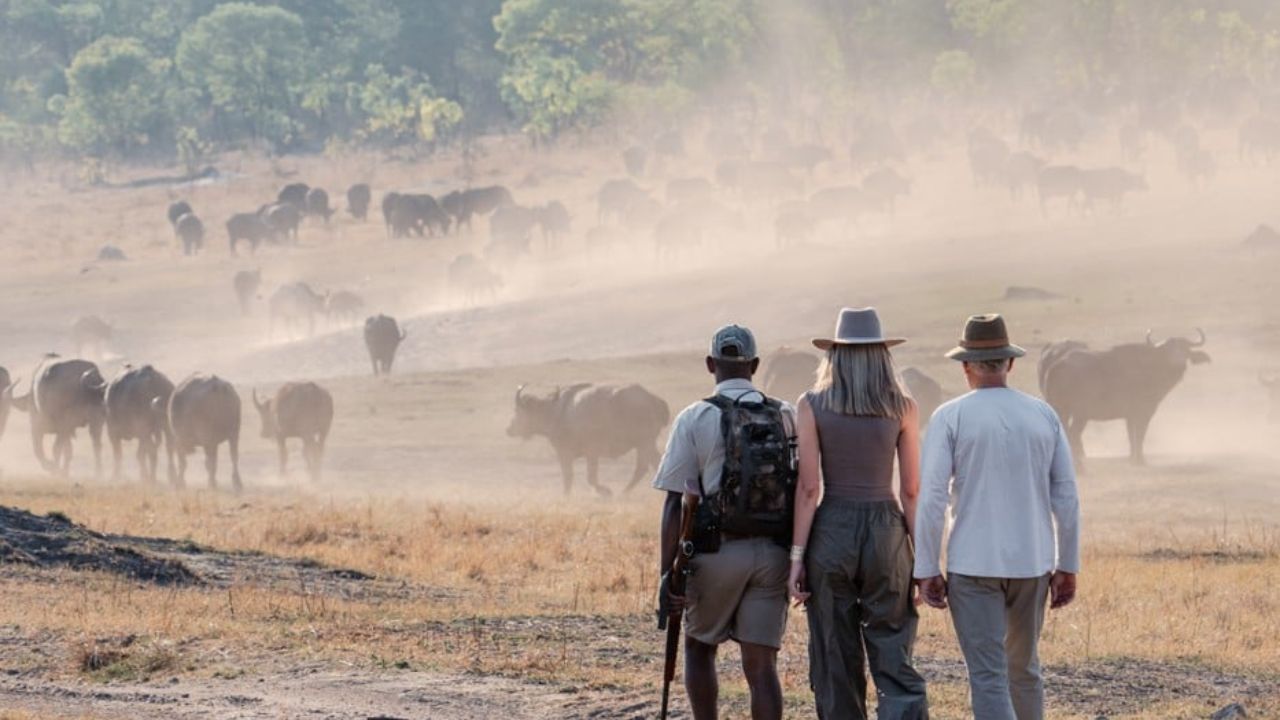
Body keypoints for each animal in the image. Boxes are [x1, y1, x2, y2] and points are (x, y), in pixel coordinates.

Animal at [507, 383, 670, 496]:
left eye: (517, 411)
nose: (509, 429)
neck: (556, 412)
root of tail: (653, 400)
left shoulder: (576, 453)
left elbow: (579, 477)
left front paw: (605, 492)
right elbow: (576, 477)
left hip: (645, 443)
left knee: (651, 465)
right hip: (644, 444)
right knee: (646, 467)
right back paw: (625, 493)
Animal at [1040, 331, 1210, 468]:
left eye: (1185, 349)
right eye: (1168, 350)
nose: (1178, 362)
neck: (1150, 368)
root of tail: (1057, 365)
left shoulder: (1130, 416)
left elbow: (1131, 436)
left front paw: (1132, 459)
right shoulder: (1143, 413)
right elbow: (1140, 435)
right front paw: (1140, 460)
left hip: (1063, 411)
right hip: (1079, 414)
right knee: (1072, 434)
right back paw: (1079, 464)